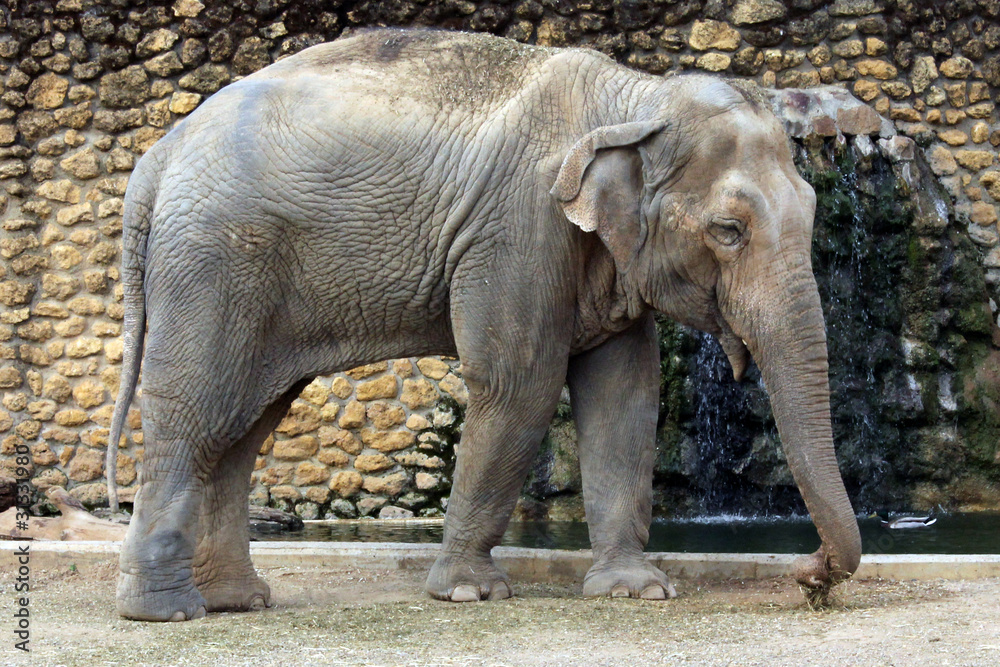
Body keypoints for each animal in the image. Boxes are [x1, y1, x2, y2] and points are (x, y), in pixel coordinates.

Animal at [106, 28, 862, 621]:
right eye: (728, 231)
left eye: (812, 209)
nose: (811, 576)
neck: (631, 100)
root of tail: (157, 157)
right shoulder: (517, 225)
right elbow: (519, 383)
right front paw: (470, 593)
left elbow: (626, 396)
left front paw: (636, 591)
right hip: (213, 262)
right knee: (196, 410)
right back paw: (167, 611)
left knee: (244, 424)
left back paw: (237, 601)